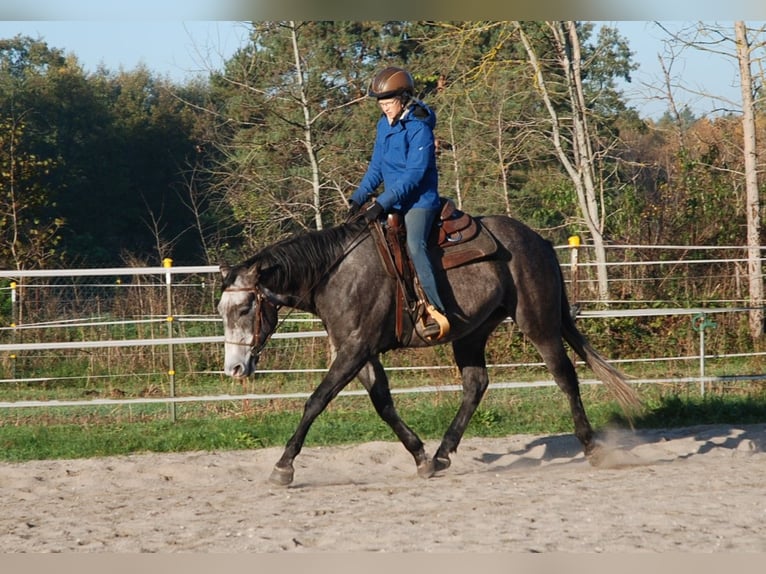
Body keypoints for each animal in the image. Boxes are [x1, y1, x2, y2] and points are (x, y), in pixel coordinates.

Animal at [216, 215, 640, 486]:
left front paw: (283, 466)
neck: (333, 274)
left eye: (245, 307)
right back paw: (442, 454)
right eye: (221, 309)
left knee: (565, 376)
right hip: (472, 333)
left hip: (539, 323)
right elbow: (384, 404)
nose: (234, 369)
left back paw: (591, 447)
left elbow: (316, 401)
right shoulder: (360, 353)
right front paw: (420, 455)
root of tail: (538, 242)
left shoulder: (354, 349)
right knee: (475, 384)